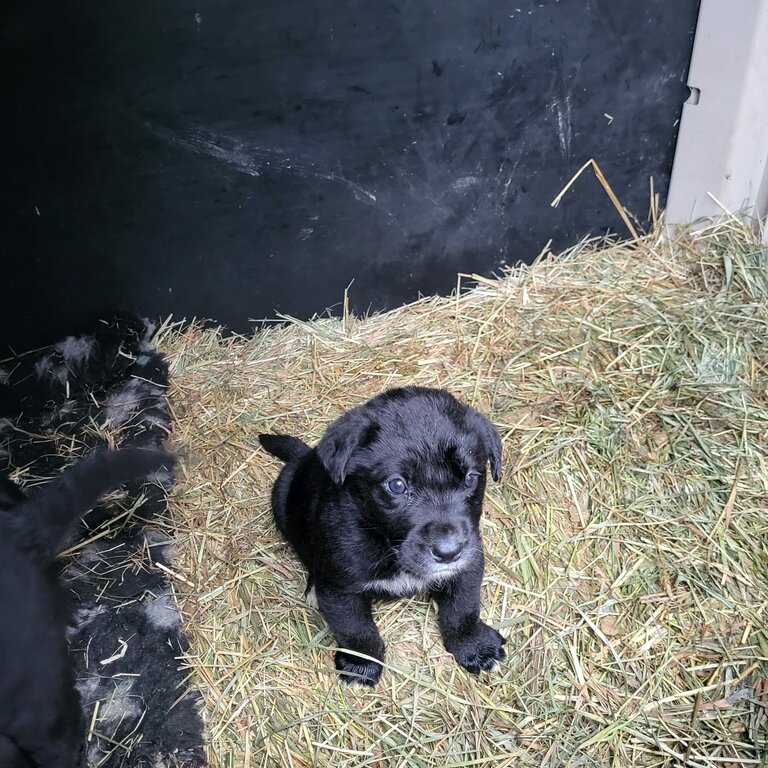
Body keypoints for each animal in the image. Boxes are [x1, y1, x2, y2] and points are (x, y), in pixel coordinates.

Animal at [260, 388, 508, 688]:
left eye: (471, 478)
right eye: (397, 485)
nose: (449, 552)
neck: (385, 543)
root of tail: (304, 456)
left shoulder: (469, 563)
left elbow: (463, 608)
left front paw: (475, 647)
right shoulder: (340, 587)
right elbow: (356, 628)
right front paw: (361, 665)